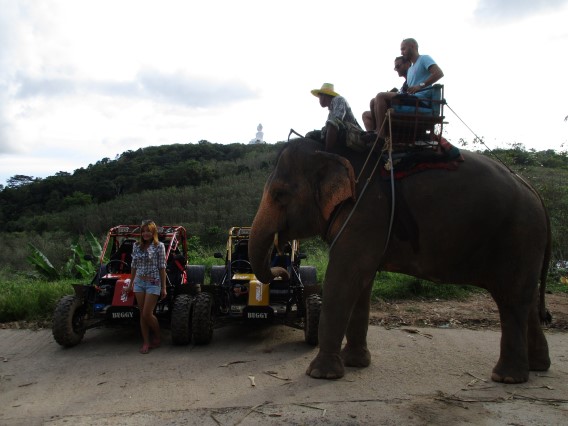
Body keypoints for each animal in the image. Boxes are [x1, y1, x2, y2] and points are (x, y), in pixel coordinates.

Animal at [250, 138, 552, 384]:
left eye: (279, 194)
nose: (283, 264)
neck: (331, 151)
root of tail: (535, 191)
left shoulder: (366, 213)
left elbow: (344, 278)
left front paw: (320, 374)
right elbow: (362, 284)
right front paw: (355, 363)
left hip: (517, 236)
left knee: (510, 298)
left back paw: (507, 377)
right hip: (526, 244)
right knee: (526, 298)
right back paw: (537, 367)